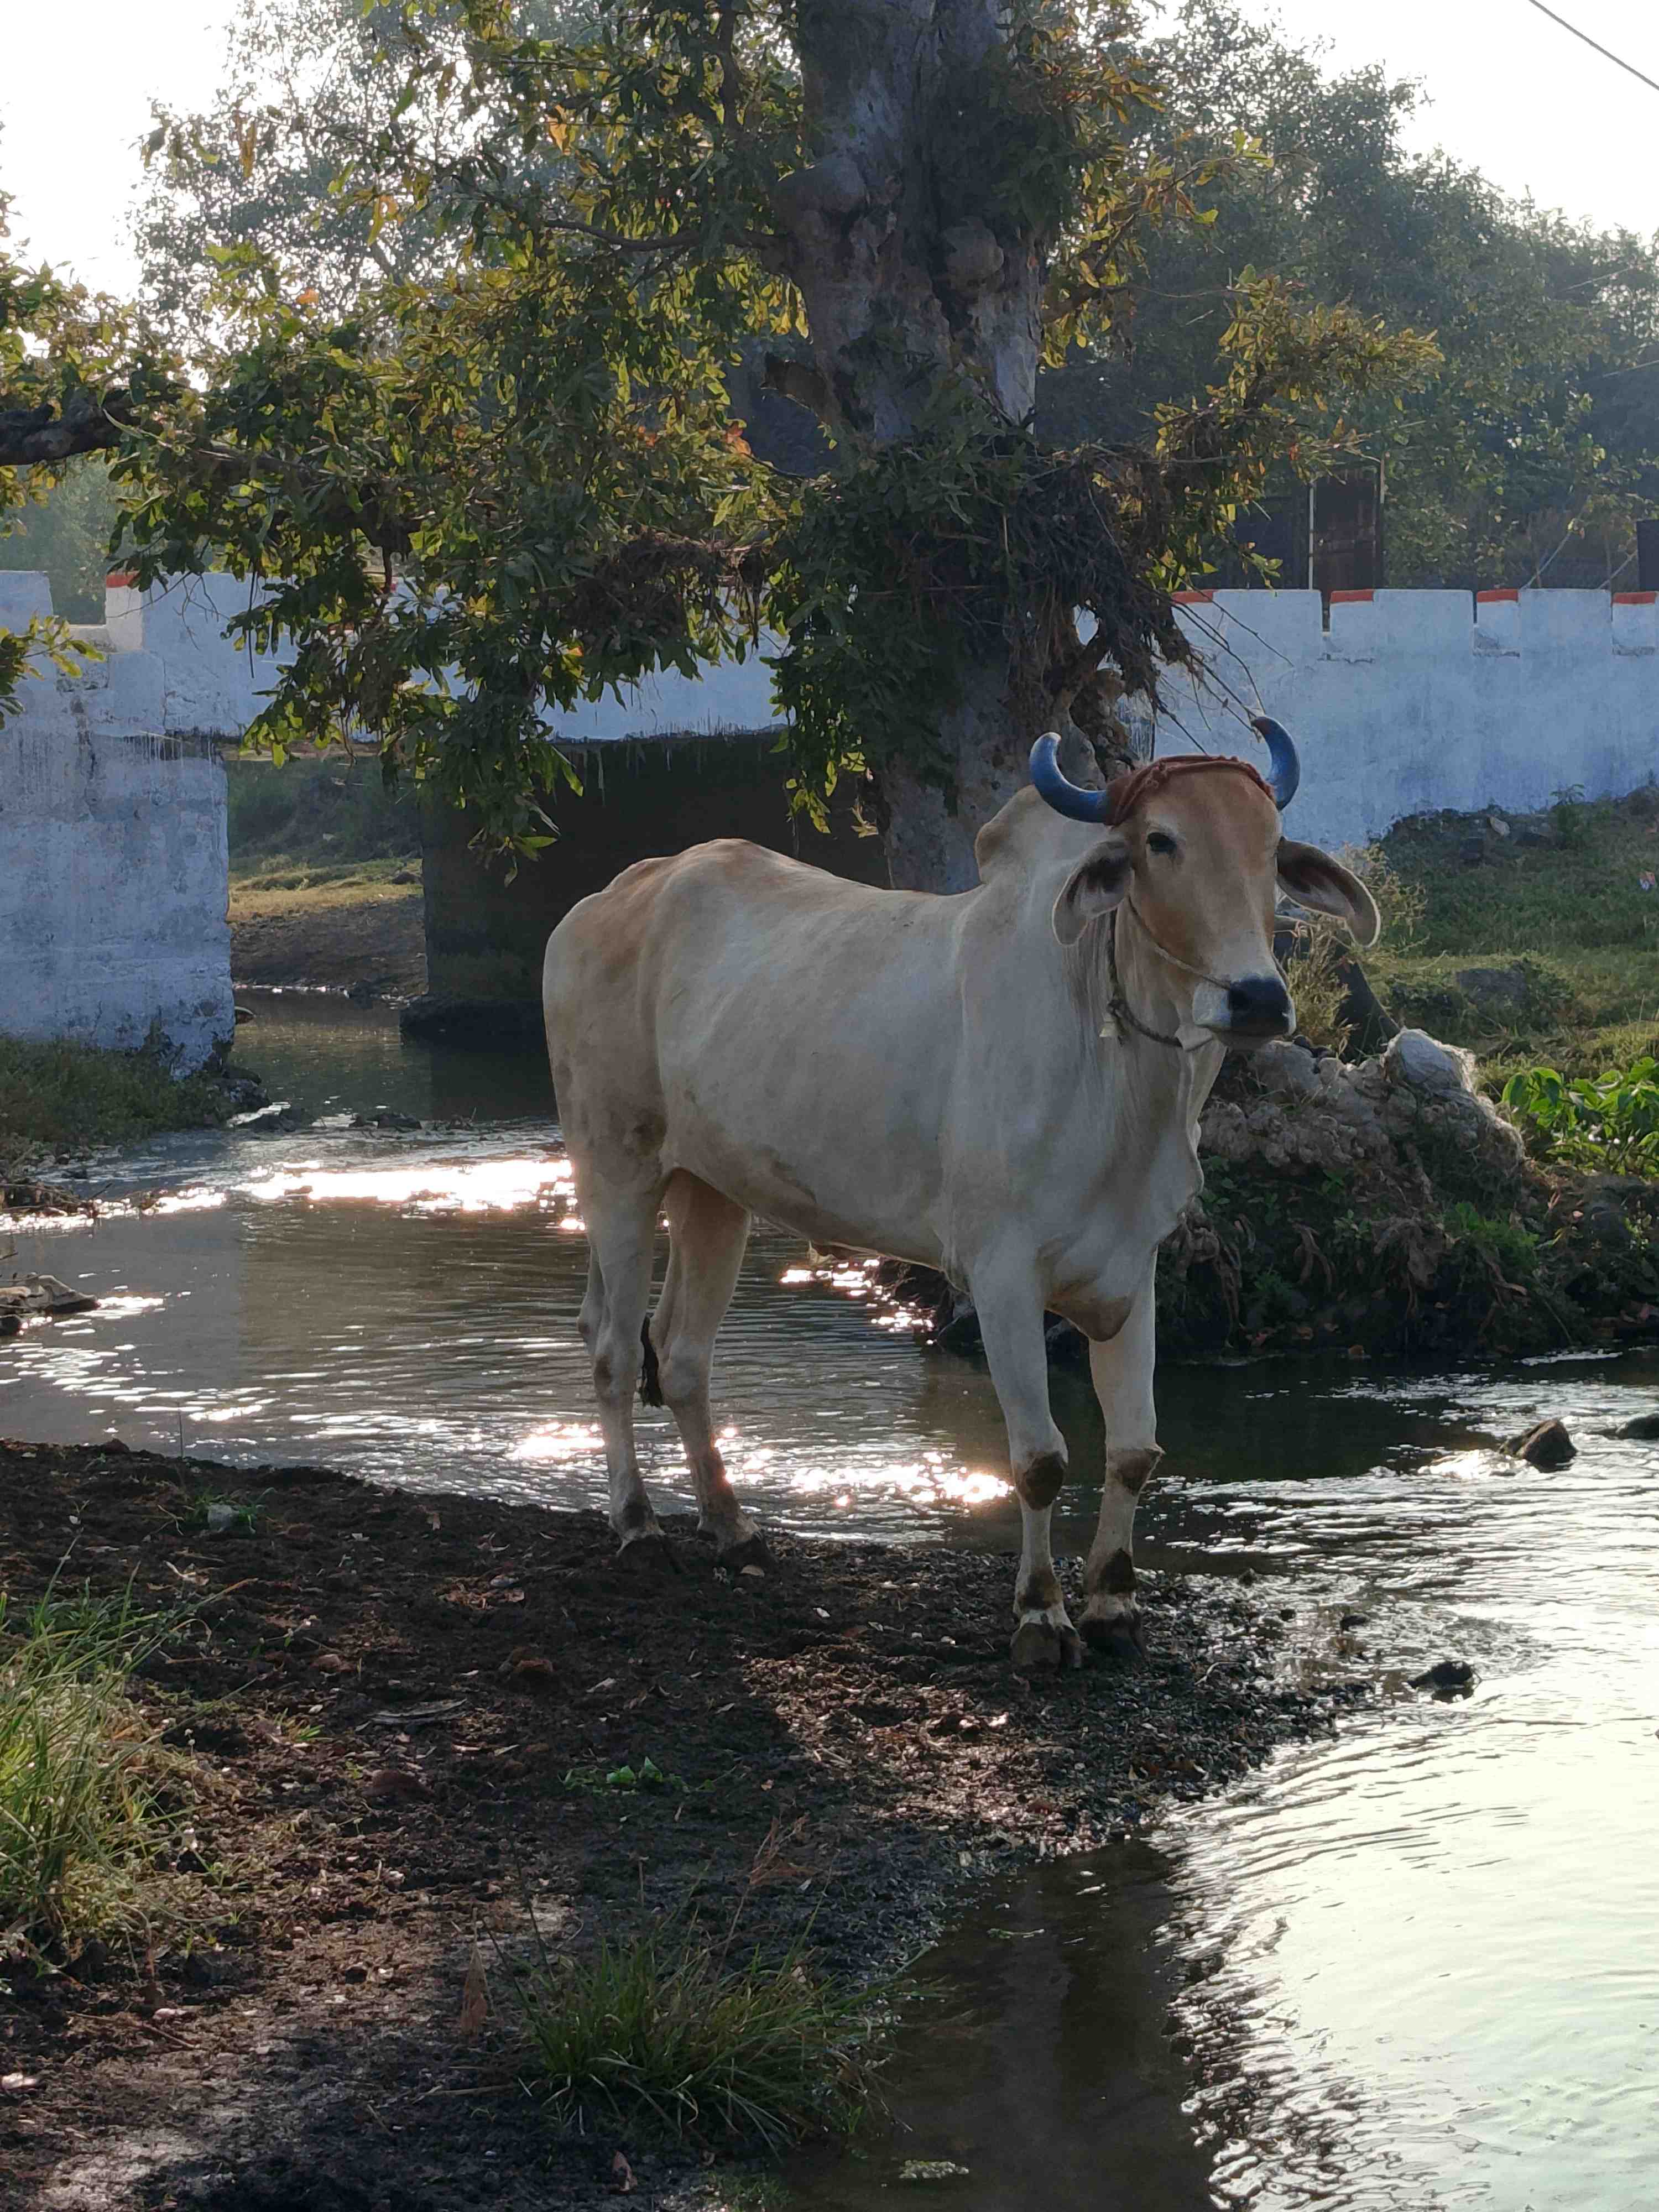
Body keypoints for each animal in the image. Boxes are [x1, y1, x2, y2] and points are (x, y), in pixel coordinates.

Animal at [542, 722, 1378, 1669]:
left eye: (1271, 849)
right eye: (1161, 841)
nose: (1258, 999)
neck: (1119, 1072)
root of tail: (609, 899)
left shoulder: (1134, 1271)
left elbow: (1133, 1449)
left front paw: (1114, 1605)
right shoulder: (1002, 1273)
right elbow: (1041, 1459)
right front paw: (1042, 1616)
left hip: (715, 1191)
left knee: (681, 1355)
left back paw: (732, 1524)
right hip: (615, 1166)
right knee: (614, 1350)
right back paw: (637, 1523)